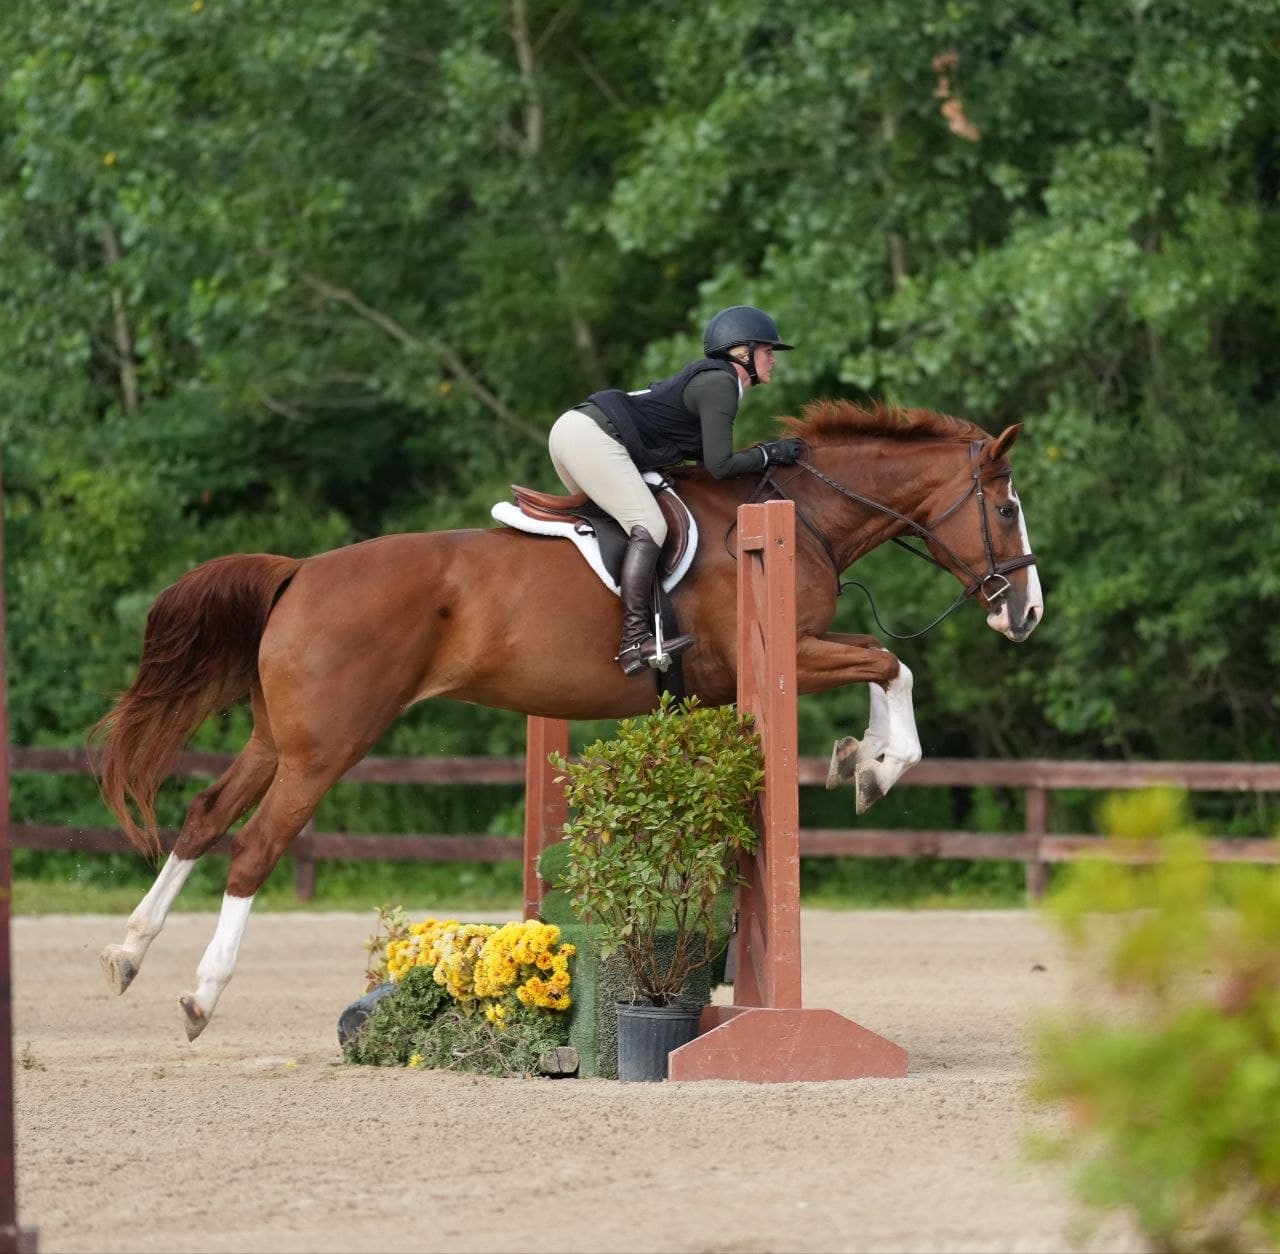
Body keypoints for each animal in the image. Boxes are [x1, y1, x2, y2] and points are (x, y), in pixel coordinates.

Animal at [93, 399, 1042, 1039]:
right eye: (1005, 509)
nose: (1025, 613)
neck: (799, 512)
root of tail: (299, 572)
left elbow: (886, 662)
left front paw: (860, 759)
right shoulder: (773, 657)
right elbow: (892, 662)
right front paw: (875, 765)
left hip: (277, 737)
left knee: (204, 817)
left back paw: (129, 953)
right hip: (328, 745)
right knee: (255, 846)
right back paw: (199, 995)